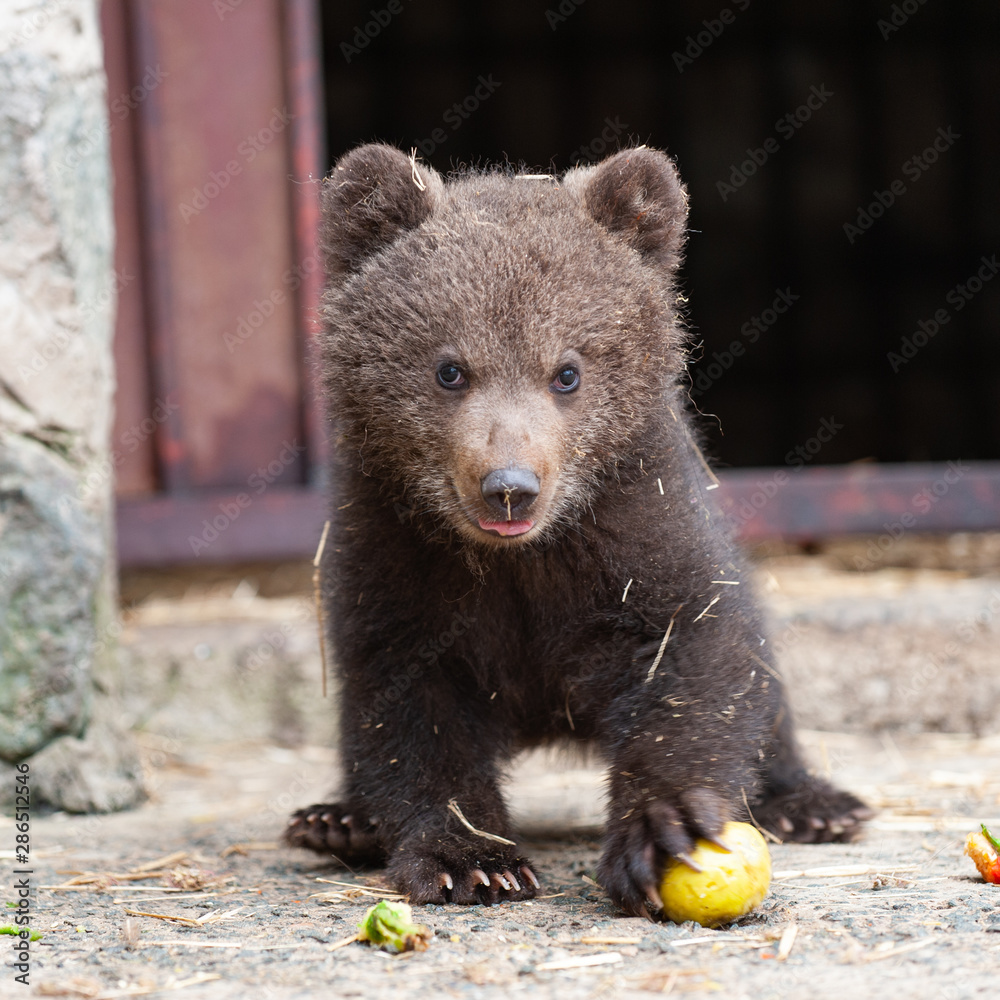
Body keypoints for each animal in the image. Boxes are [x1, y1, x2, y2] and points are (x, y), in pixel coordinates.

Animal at [285, 143, 871, 918]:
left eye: (567, 371)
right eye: (449, 369)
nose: (508, 487)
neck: (521, 558)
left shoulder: (638, 528)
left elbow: (692, 657)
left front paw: (664, 831)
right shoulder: (395, 553)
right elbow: (408, 708)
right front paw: (471, 859)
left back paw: (812, 803)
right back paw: (336, 819)